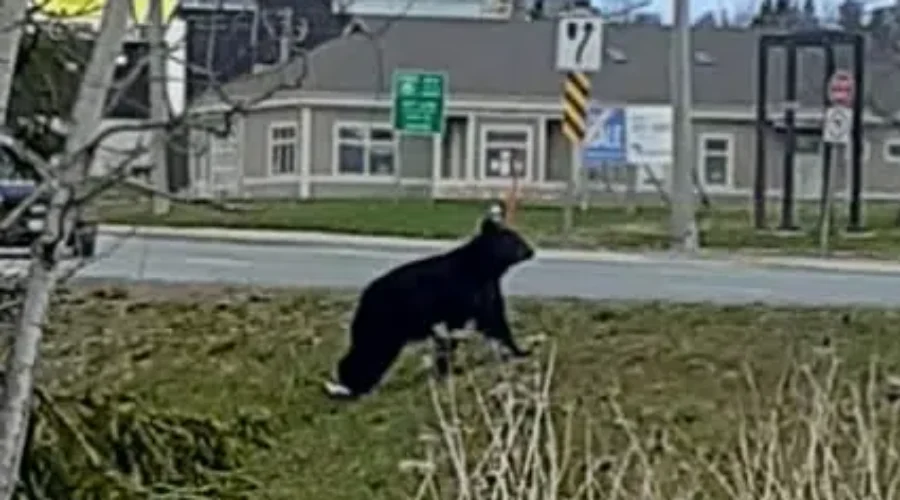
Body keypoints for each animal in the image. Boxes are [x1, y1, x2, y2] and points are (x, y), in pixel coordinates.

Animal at [323, 211, 535, 400]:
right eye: (514, 239)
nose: (530, 251)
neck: (483, 268)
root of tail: (363, 298)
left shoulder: (486, 291)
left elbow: (495, 321)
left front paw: (521, 350)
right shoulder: (458, 293)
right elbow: (456, 329)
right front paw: (445, 367)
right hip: (384, 322)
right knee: (369, 350)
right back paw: (354, 387)